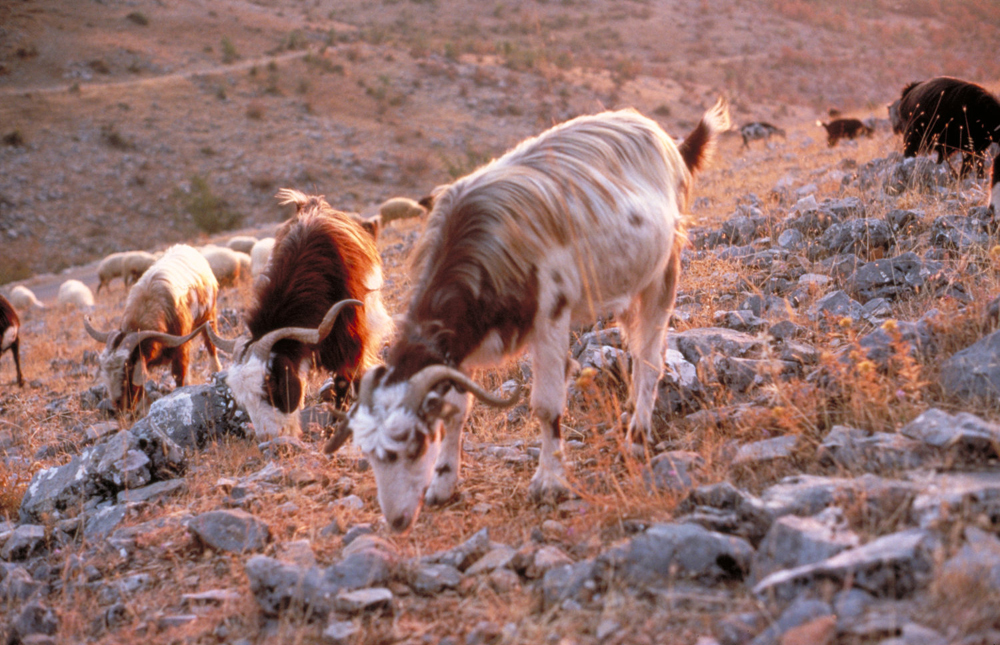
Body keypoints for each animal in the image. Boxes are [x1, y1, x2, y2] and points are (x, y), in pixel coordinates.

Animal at [83, 242, 221, 412]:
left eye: (128, 368)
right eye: (103, 370)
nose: (118, 405)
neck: (148, 304)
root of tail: (185, 246)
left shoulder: (180, 347)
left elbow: (179, 376)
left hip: (209, 314)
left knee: (210, 345)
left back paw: (216, 370)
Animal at [205, 186, 392, 438]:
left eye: (273, 384)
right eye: (244, 400)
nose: (271, 437)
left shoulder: (350, 337)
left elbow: (344, 378)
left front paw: (336, 425)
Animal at [326, 99, 728, 528]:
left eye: (413, 444)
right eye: (368, 452)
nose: (398, 520)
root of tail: (671, 143)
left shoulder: (551, 316)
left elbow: (546, 405)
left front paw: (549, 481)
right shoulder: (462, 343)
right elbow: (457, 411)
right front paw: (443, 484)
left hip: (663, 272)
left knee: (651, 358)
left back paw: (636, 440)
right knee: (639, 350)